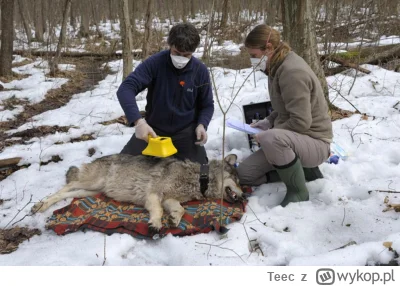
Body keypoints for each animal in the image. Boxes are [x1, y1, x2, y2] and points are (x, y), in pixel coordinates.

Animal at [32, 154, 244, 230]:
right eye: (237, 180)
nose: (244, 195)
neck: (199, 178)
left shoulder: (169, 199)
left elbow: (181, 209)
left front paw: (174, 219)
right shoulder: (154, 195)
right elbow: (158, 210)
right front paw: (156, 223)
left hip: (89, 192)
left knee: (66, 194)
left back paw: (43, 206)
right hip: (92, 182)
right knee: (67, 186)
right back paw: (39, 205)